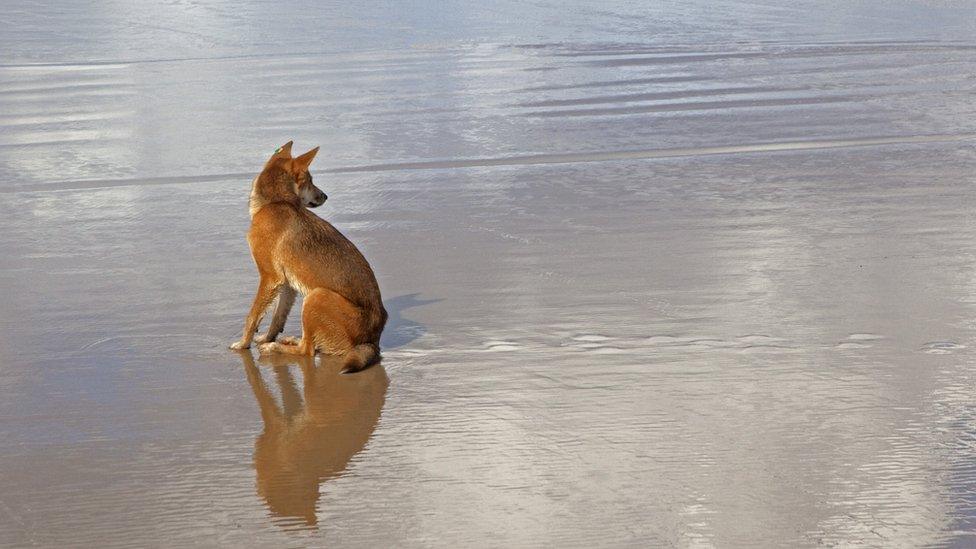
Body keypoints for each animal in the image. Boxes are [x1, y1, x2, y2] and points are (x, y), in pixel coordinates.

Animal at [233, 141, 388, 372]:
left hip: (316, 296)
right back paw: (288, 341)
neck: (276, 202)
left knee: (307, 351)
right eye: (310, 181)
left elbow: (252, 316)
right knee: (309, 342)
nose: (325, 196)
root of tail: (372, 343)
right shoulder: (286, 284)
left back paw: (276, 348)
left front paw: (244, 343)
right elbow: (277, 317)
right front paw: (267, 337)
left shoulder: (270, 277)